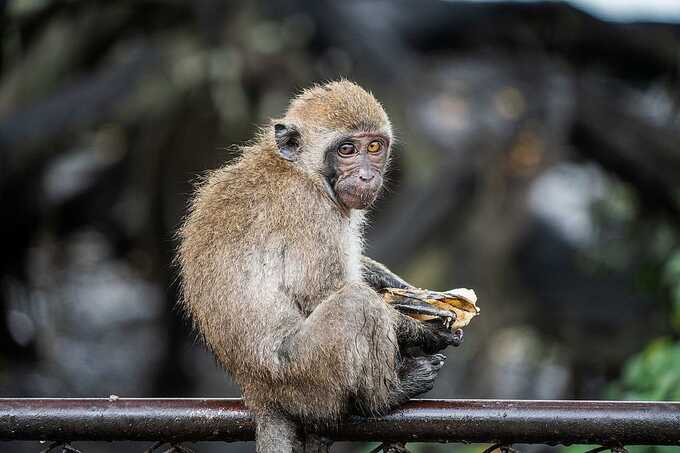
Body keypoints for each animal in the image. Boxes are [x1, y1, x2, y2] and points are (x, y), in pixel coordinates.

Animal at [178, 82, 462, 452]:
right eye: (346, 149)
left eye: (374, 147)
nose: (367, 175)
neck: (302, 170)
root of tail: (258, 392)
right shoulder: (309, 209)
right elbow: (322, 292)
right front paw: (425, 330)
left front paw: (411, 293)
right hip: (304, 376)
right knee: (356, 303)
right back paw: (385, 397)